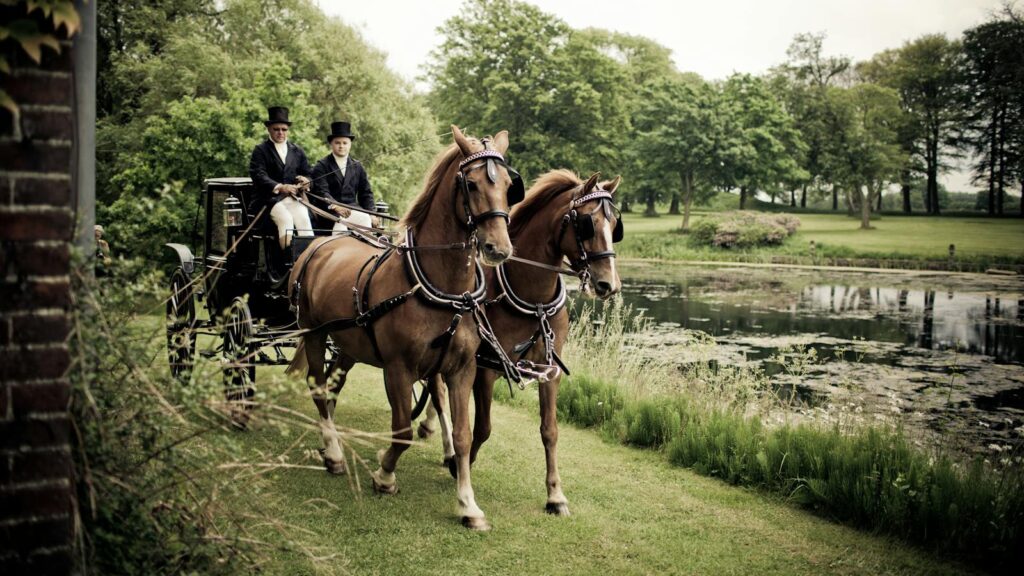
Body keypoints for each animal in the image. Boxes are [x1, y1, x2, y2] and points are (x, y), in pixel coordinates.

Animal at [286, 126, 523, 531]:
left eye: (509, 185)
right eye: (471, 183)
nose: (498, 248)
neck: (443, 289)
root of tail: (321, 245)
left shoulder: (461, 369)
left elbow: (462, 435)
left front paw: (468, 503)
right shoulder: (398, 368)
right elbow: (401, 430)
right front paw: (384, 475)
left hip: (349, 345)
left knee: (332, 387)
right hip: (314, 332)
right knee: (318, 387)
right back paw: (333, 452)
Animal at [417, 169, 623, 516]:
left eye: (614, 226)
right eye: (588, 223)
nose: (610, 284)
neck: (533, 299)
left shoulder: (550, 370)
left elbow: (550, 430)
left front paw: (555, 495)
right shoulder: (486, 369)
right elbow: (483, 427)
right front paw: (461, 465)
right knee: (438, 391)